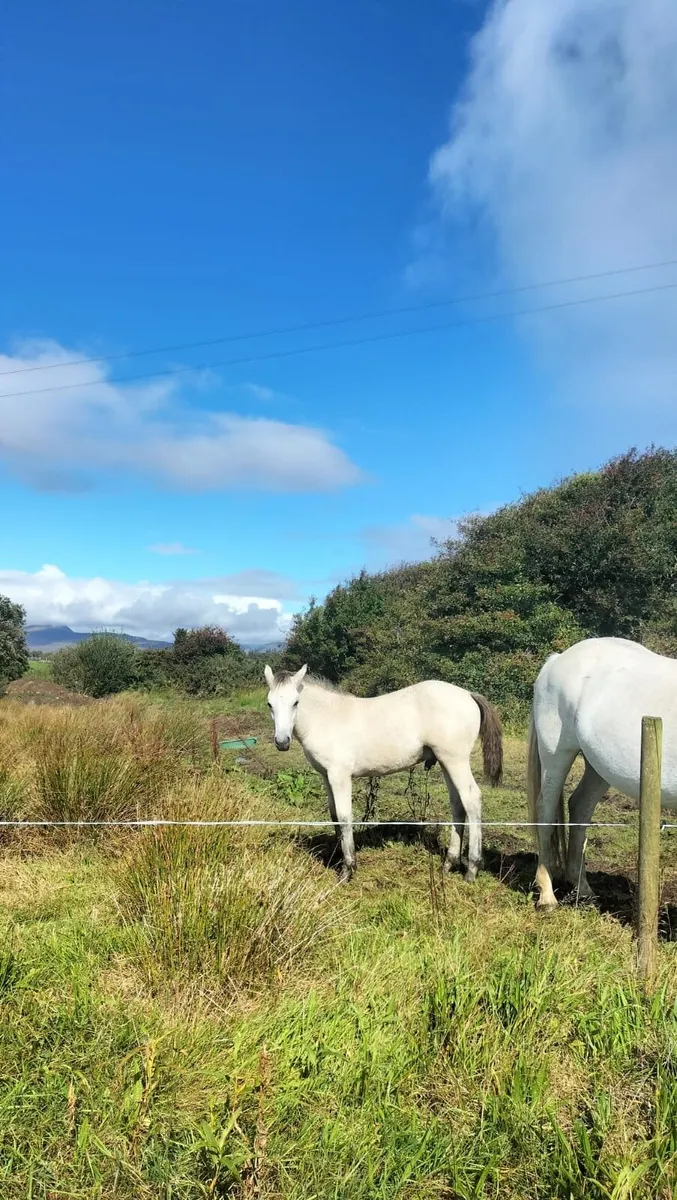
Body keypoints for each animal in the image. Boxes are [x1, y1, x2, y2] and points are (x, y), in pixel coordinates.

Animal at [264, 664, 503, 882]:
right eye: (270, 704)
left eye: (295, 702)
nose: (282, 742)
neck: (328, 718)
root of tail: (468, 695)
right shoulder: (326, 776)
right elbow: (334, 817)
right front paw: (336, 858)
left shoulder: (340, 776)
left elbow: (344, 817)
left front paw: (347, 870)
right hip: (446, 762)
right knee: (457, 803)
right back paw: (449, 863)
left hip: (456, 761)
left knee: (472, 799)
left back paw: (472, 869)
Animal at [527, 637, 677, 910]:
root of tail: (556, 660)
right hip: (556, 755)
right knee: (546, 811)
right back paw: (547, 896)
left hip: (598, 768)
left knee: (580, 807)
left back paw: (582, 889)